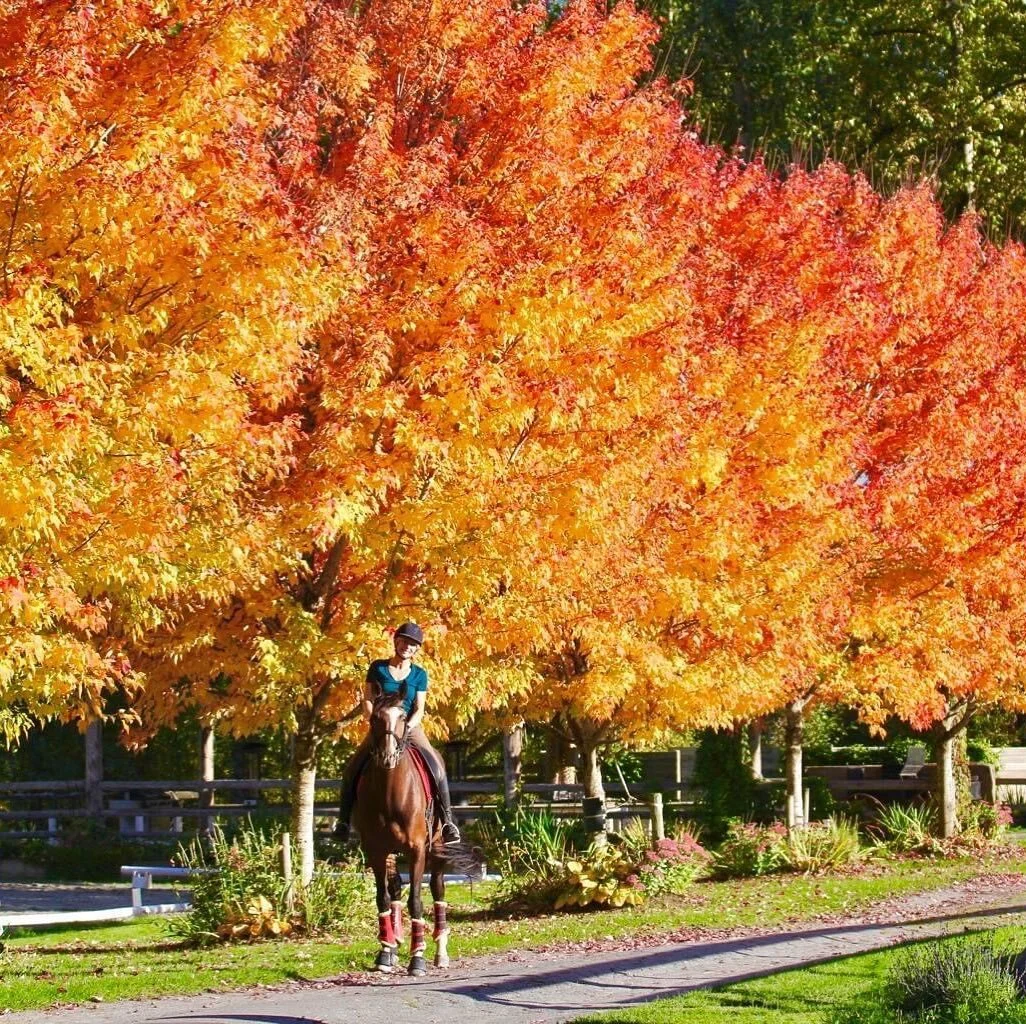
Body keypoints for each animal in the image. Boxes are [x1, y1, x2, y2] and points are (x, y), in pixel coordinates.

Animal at [351, 689, 451, 976]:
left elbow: (416, 901)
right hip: (390, 854)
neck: (390, 793)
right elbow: (382, 898)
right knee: (394, 888)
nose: (388, 756)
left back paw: (441, 953)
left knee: (438, 890)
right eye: (375, 717)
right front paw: (385, 953)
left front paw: (417, 959)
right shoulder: (376, 851)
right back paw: (393, 944)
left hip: (437, 849)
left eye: (403, 717)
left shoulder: (416, 851)